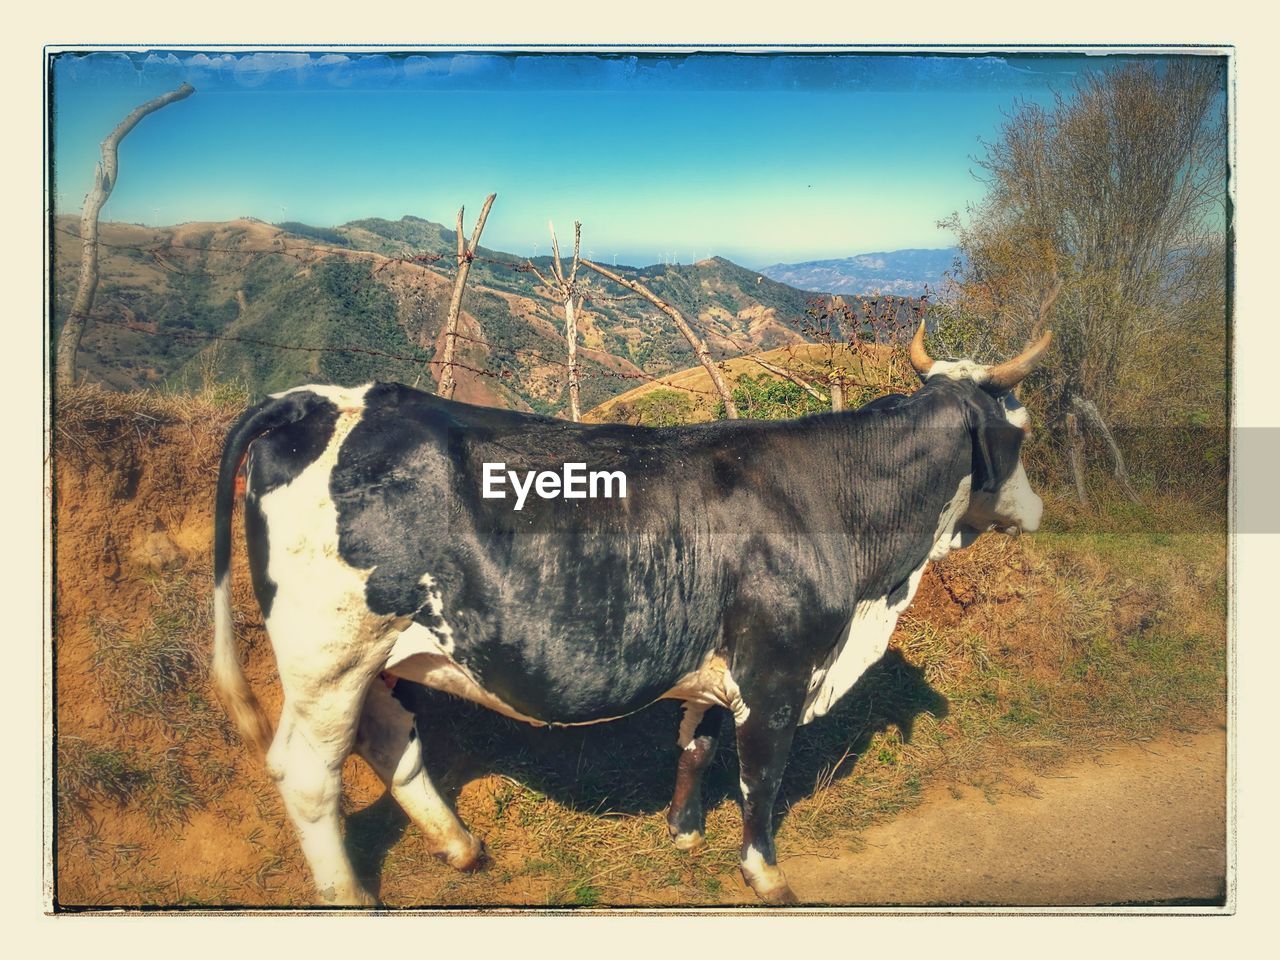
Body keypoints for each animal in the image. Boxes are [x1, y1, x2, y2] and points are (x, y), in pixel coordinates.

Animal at [209, 325, 1049, 911]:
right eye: (1023, 430)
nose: (1039, 510)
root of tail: (314, 397)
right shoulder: (777, 671)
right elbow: (763, 776)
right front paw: (766, 874)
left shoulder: (716, 661)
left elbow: (697, 746)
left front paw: (683, 831)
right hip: (329, 654)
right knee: (309, 773)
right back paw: (350, 895)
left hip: (379, 654)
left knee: (390, 739)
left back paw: (462, 846)